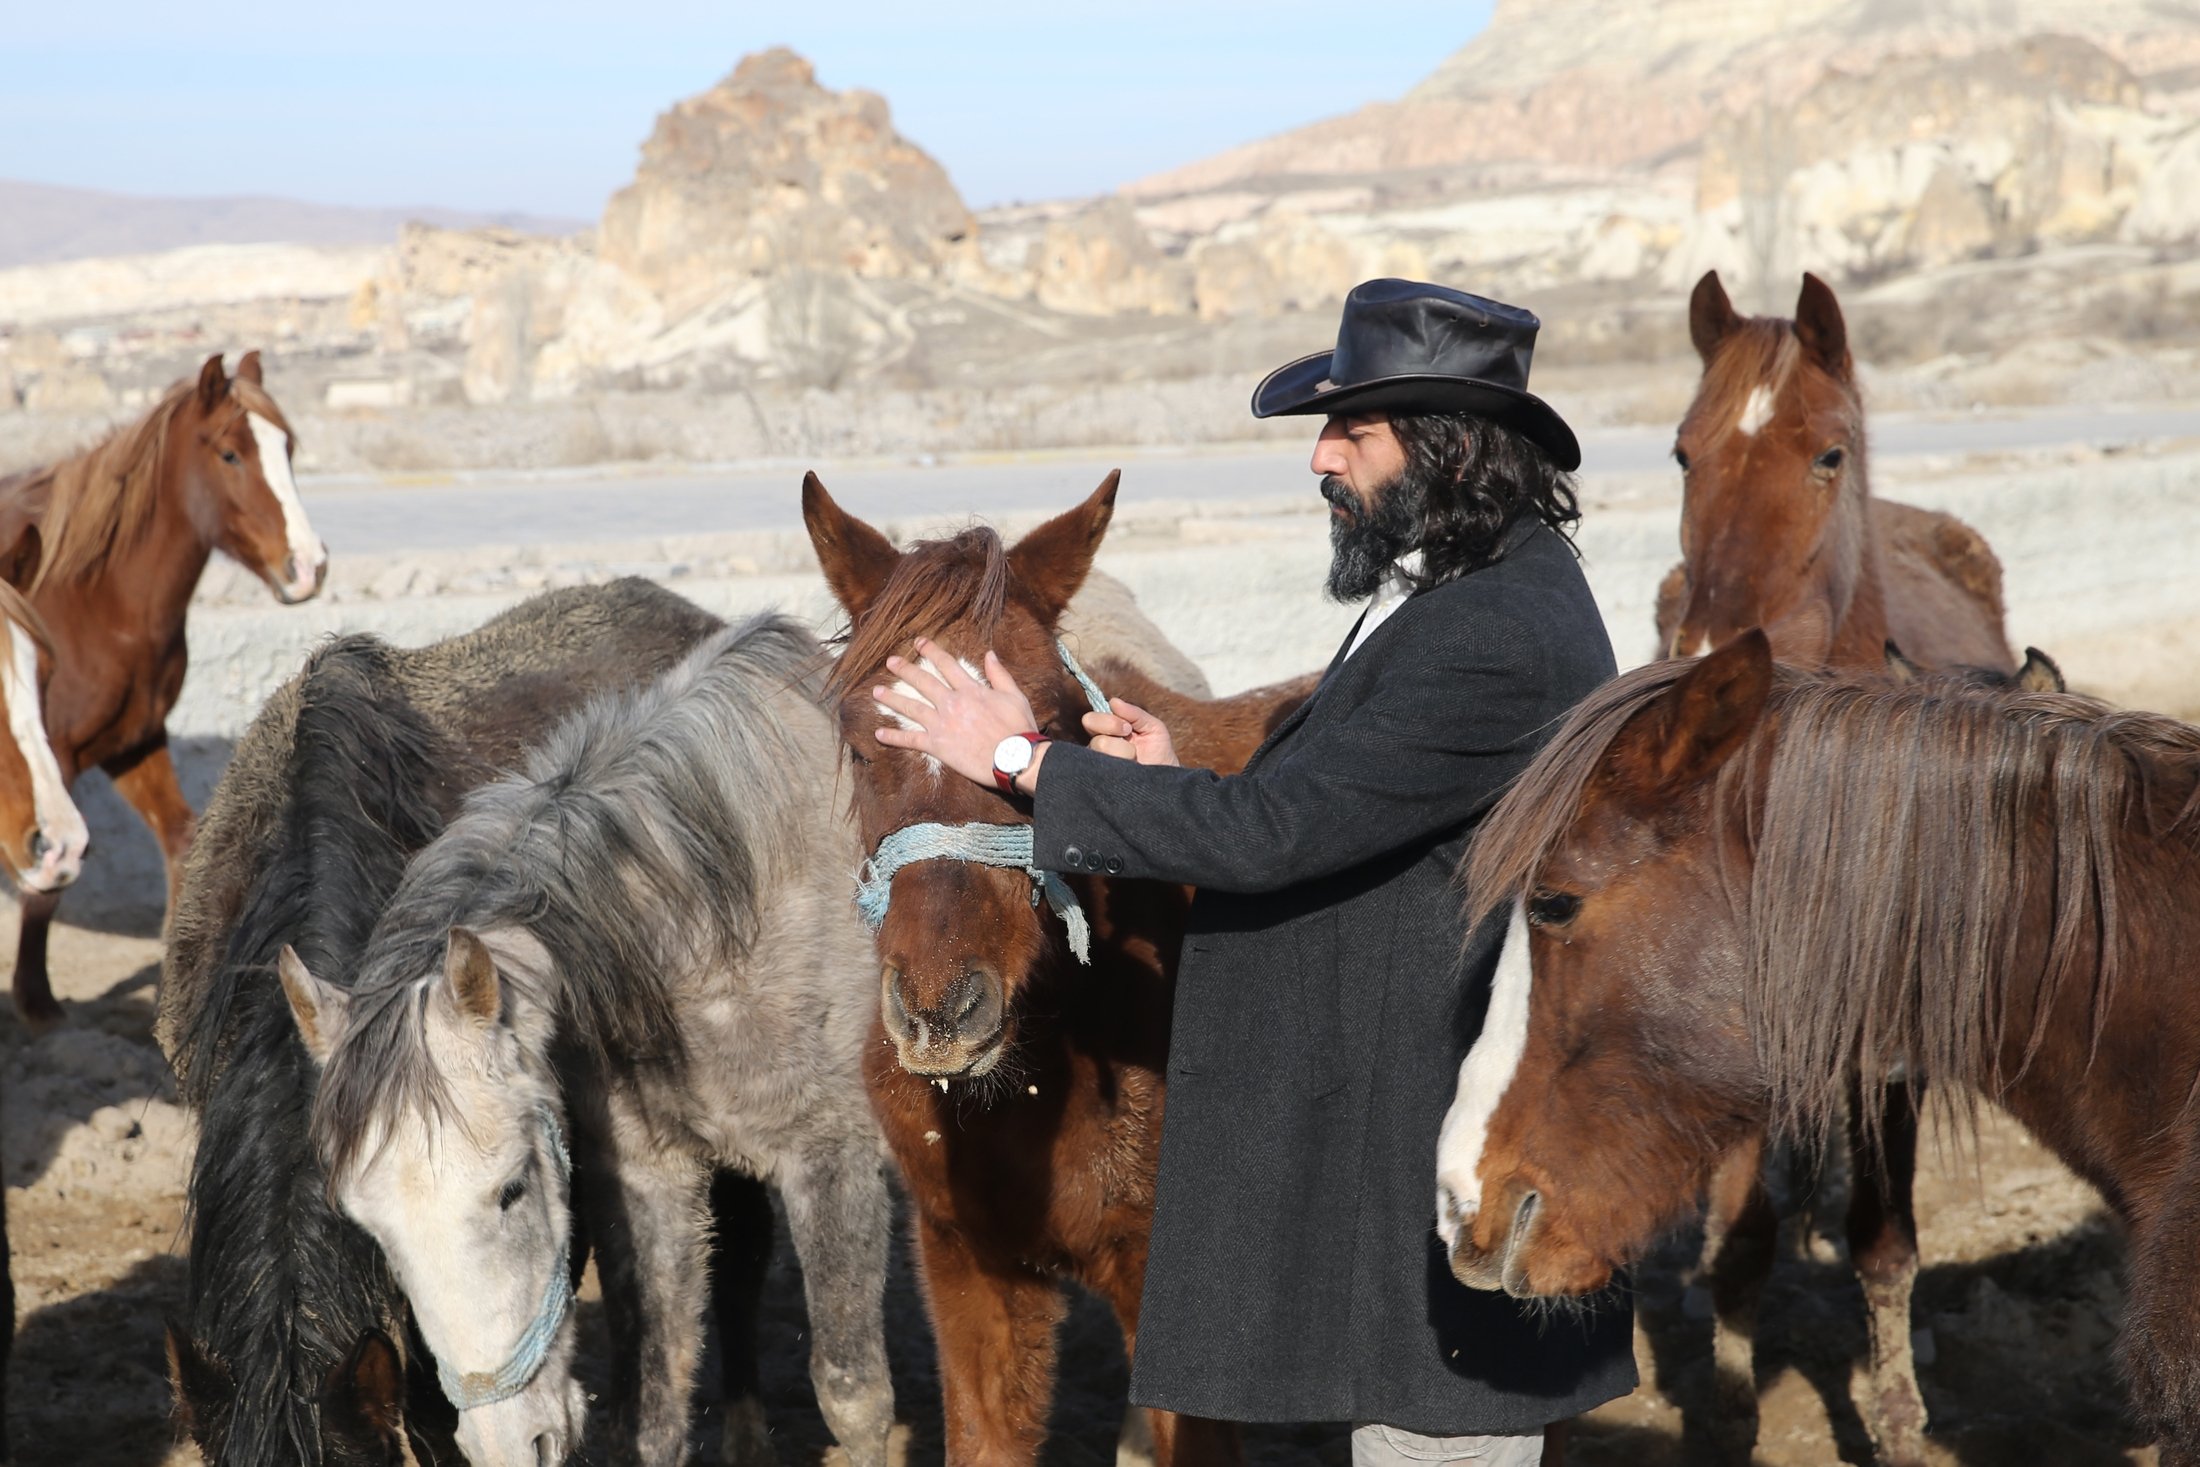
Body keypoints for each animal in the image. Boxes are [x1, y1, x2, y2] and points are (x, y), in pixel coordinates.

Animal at [0, 349, 325, 1029]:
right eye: (229, 454)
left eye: (288, 448)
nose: (309, 567)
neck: (96, 600)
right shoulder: (52, 760)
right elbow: (45, 889)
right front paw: (37, 1000)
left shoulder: (135, 743)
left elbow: (182, 840)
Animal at [283, 615, 893, 1467]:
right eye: (375, 1231)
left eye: (511, 1188)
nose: (512, 1444)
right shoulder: (645, 1175)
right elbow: (653, 1406)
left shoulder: (833, 1158)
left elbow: (854, 1395)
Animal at [1654, 272, 2015, 1467]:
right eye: (1682, 452)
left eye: (1827, 453)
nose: (1706, 663)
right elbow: (1739, 1242)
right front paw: (1725, 1414)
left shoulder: (1890, 1053)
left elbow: (1883, 1244)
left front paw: (1900, 1422)